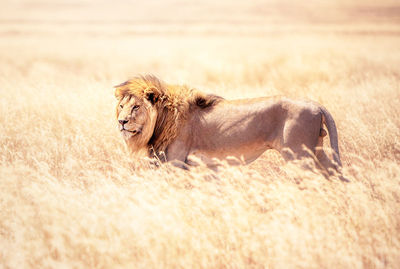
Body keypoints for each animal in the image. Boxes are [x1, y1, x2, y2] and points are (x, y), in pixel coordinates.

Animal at [114, 73, 342, 174]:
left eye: (136, 107)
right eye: (122, 106)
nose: (121, 122)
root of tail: (316, 105)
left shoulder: (175, 162)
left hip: (299, 155)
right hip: (315, 151)